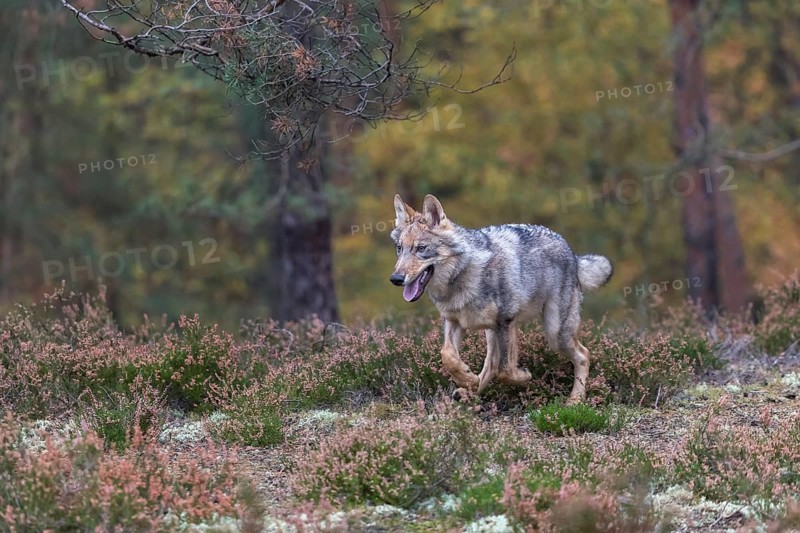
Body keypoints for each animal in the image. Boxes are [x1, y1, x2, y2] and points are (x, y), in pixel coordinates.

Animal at [389, 194, 612, 403]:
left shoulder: (506, 321)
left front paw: (524, 377)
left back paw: (575, 400)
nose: (396, 279)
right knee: (490, 365)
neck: (461, 278)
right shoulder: (453, 321)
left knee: (583, 355)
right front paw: (467, 378)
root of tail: (572, 254)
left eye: (421, 249)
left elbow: (506, 371)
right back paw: (471, 390)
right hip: (493, 332)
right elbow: (447, 355)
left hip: (555, 334)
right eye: (399, 249)